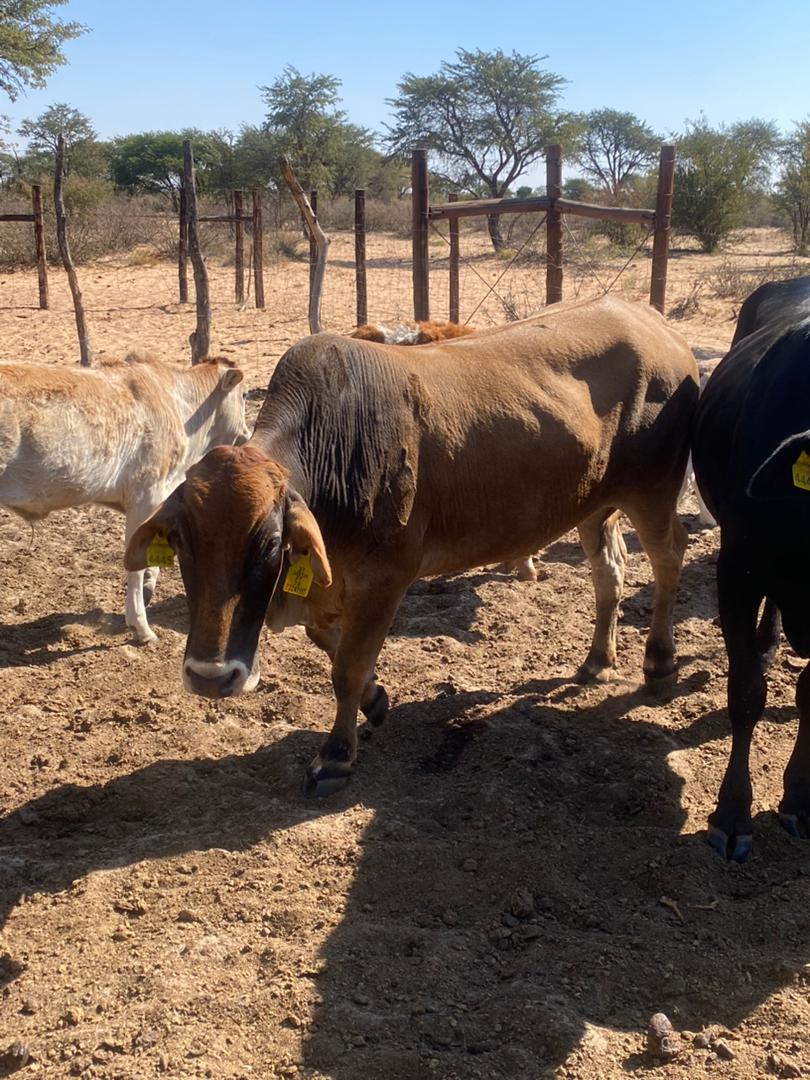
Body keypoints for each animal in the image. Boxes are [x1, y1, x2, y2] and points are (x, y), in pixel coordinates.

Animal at [130, 295, 699, 794]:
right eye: (180, 543)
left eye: (270, 543)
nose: (210, 677)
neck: (336, 447)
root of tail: (657, 325)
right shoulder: (330, 586)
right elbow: (331, 644)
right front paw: (377, 700)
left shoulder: (384, 580)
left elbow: (347, 667)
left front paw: (336, 756)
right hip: (594, 505)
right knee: (610, 573)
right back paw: (598, 659)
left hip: (653, 492)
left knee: (670, 558)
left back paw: (659, 664)